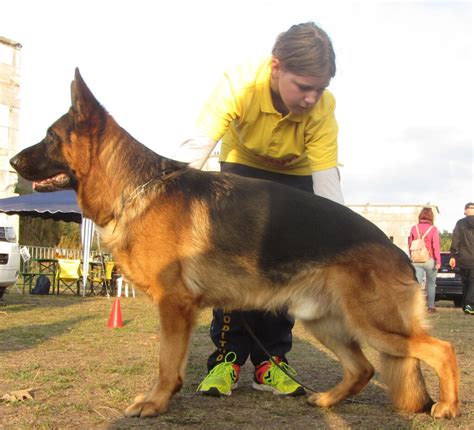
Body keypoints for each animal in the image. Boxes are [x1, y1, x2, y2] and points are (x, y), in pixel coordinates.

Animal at [9, 70, 462, 420]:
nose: (12, 162)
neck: (136, 187)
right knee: (362, 369)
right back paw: (327, 400)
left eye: (50, 136)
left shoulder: (174, 305)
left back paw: (447, 406)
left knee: (441, 349)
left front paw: (155, 403)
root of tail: (397, 252)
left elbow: (166, 363)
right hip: (325, 322)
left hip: (374, 324)